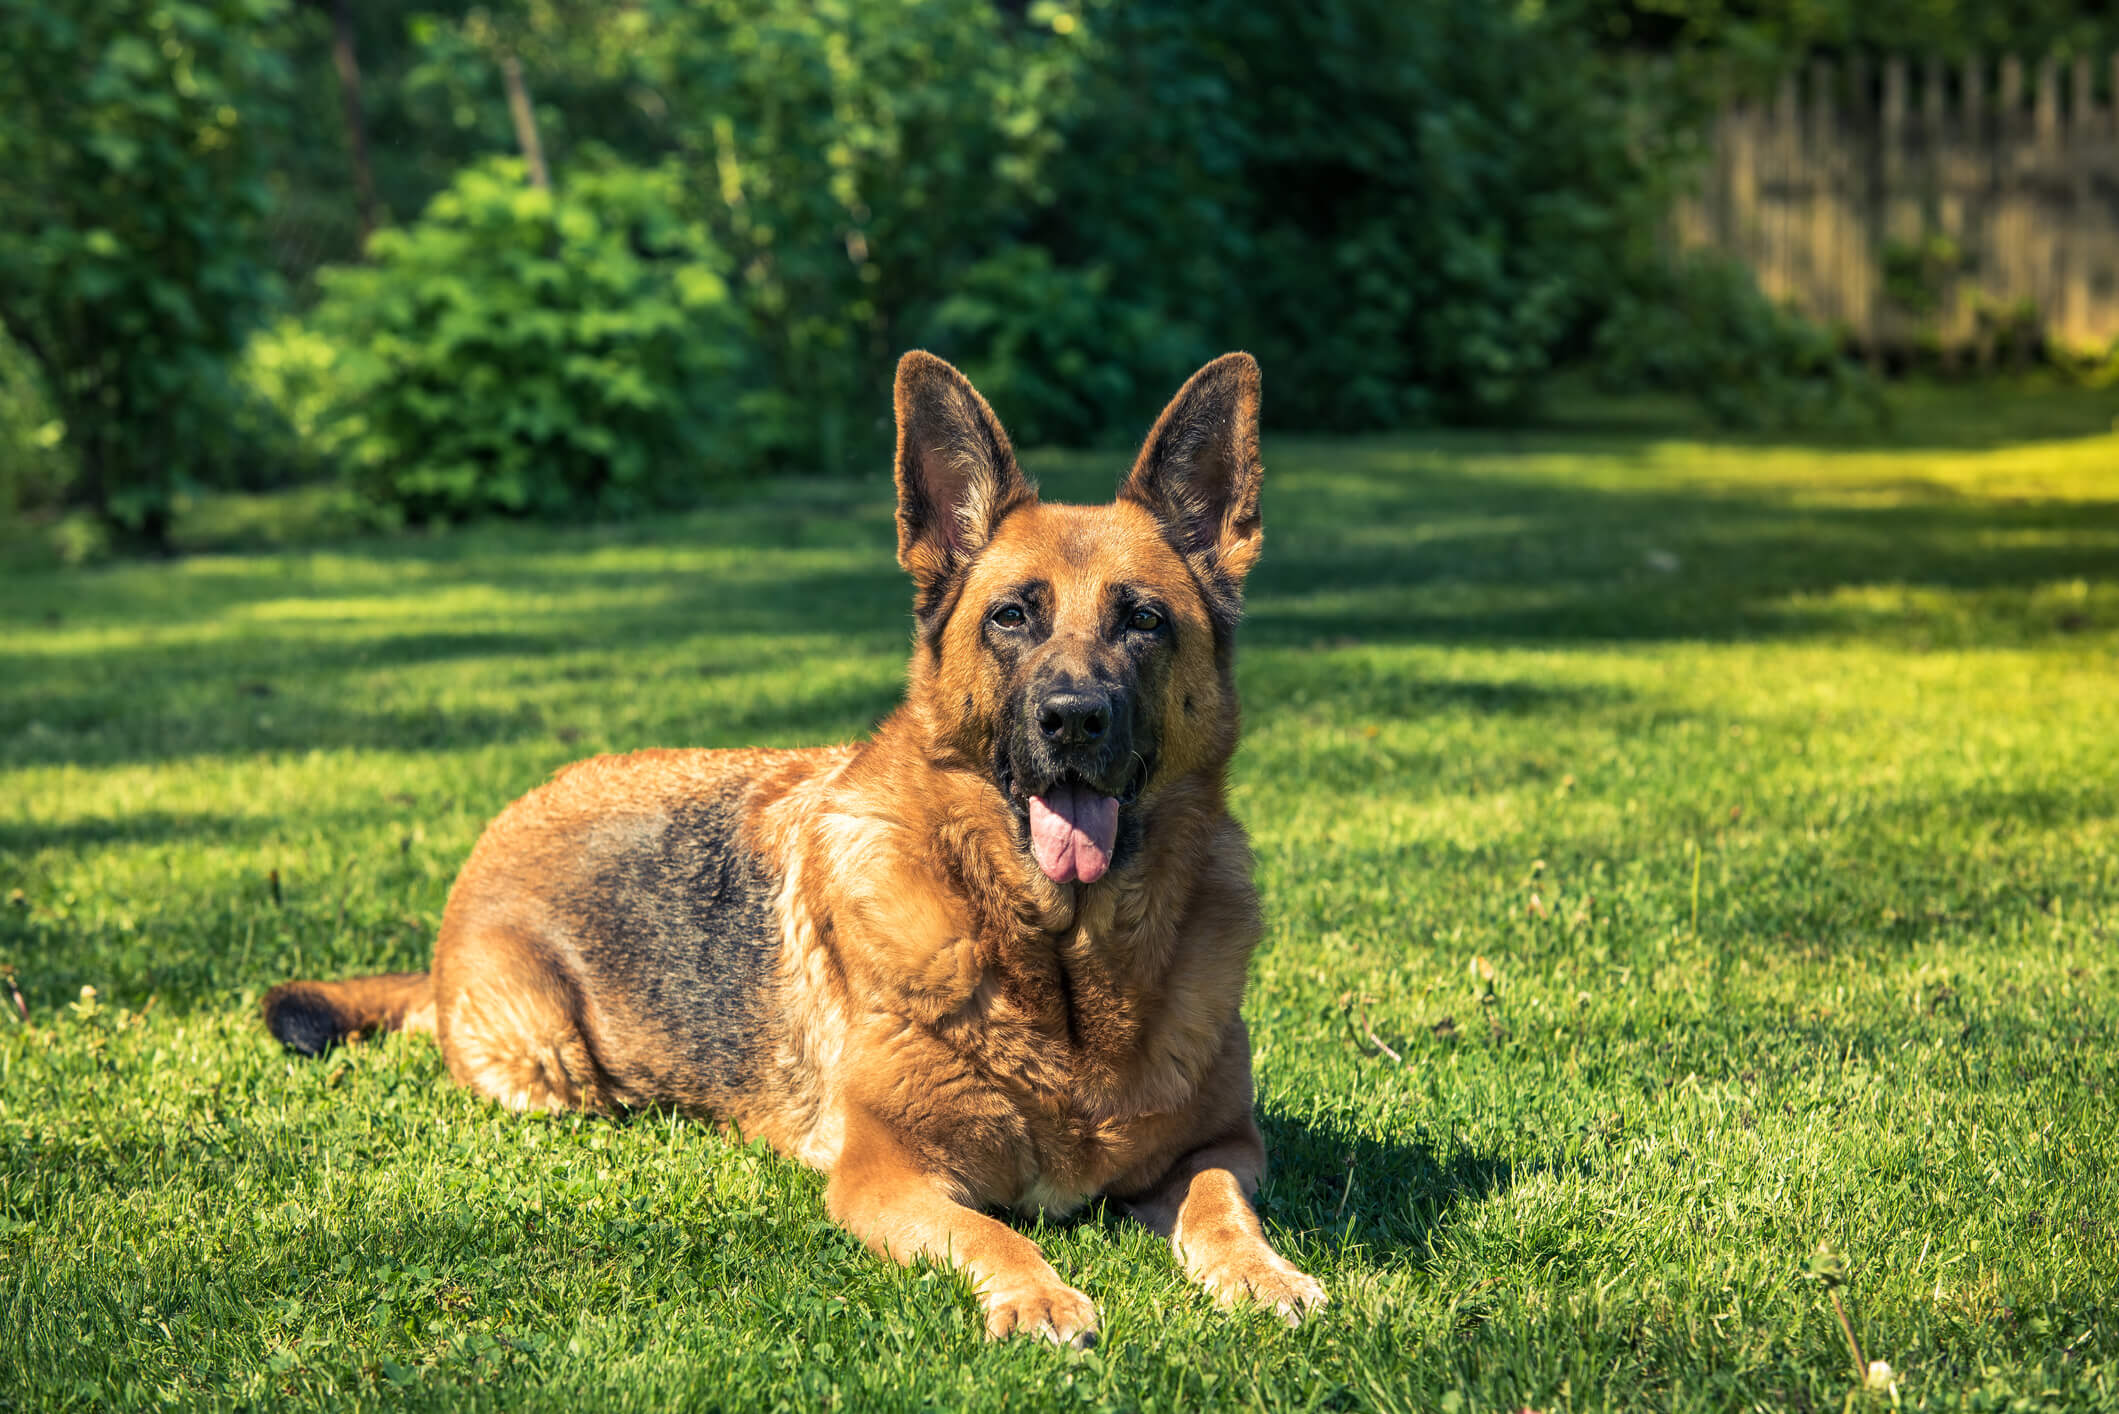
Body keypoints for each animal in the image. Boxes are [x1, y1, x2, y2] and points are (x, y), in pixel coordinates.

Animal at [260, 347, 1322, 1348]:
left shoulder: (1225, 1147)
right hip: (554, 1066)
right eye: (1010, 617)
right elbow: (992, 1232)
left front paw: (1263, 1274)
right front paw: (1036, 1295)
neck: (1064, 970)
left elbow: (1220, 1209)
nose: (1071, 720)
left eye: (1142, 620)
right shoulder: (886, 1175)